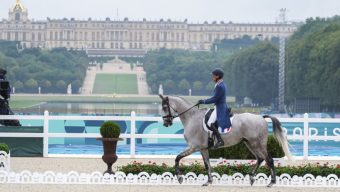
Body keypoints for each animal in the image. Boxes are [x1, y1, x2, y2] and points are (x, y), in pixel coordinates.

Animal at [159, 94, 292, 188]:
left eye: (165, 107)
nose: (166, 123)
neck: (192, 118)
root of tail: (261, 117)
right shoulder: (203, 148)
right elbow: (207, 164)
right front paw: (208, 181)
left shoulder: (193, 146)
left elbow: (177, 158)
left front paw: (180, 178)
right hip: (249, 143)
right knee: (260, 159)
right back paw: (251, 178)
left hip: (257, 143)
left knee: (269, 159)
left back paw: (271, 182)